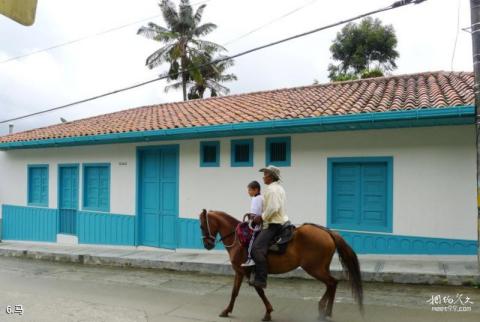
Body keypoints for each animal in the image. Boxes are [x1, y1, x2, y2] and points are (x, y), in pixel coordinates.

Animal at [199, 209, 364, 322]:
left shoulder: (247, 272)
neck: (239, 240)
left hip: (314, 268)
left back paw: (323, 311)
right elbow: (234, 293)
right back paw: (326, 311)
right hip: (321, 268)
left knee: (332, 282)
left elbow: (259, 291)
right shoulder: (240, 272)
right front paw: (226, 311)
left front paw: (268, 312)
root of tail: (327, 232)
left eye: (201, 225)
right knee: (332, 284)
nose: (207, 245)